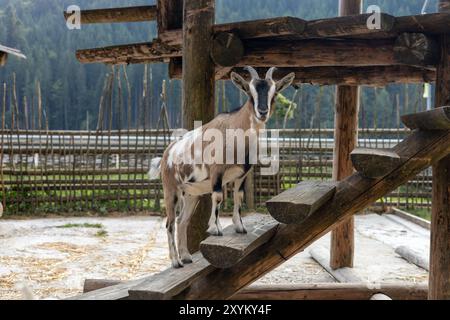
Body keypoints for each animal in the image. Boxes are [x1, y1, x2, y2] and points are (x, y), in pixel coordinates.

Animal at [149, 65, 294, 268]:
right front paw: (215, 229)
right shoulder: (216, 173)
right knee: (169, 222)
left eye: (274, 93)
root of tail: (166, 155)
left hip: (191, 193)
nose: (262, 112)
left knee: (181, 220)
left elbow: (238, 196)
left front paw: (240, 227)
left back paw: (186, 257)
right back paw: (176, 261)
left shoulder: (242, 175)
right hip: (171, 190)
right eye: (249, 92)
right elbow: (218, 197)